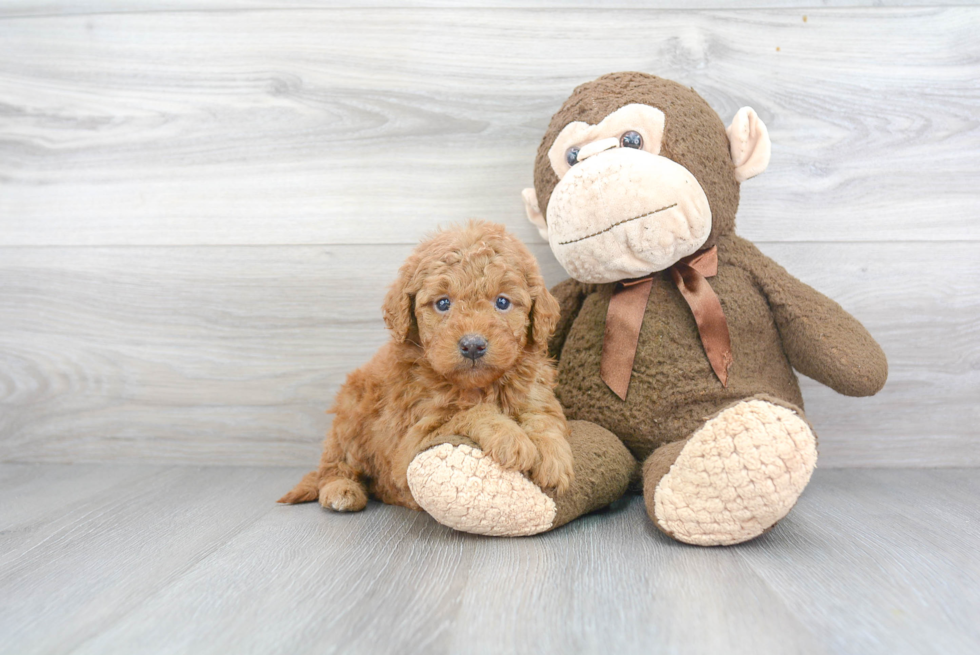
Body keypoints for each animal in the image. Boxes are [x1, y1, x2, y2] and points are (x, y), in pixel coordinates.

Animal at [278, 223, 576, 516]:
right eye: (443, 303)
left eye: (502, 302)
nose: (473, 345)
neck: (478, 386)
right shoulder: (410, 441)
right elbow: (466, 412)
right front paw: (510, 437)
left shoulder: (535, 393)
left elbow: (543, 419)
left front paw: (553, 457)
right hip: (348, 418)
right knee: (334, 466)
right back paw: (341, 491)